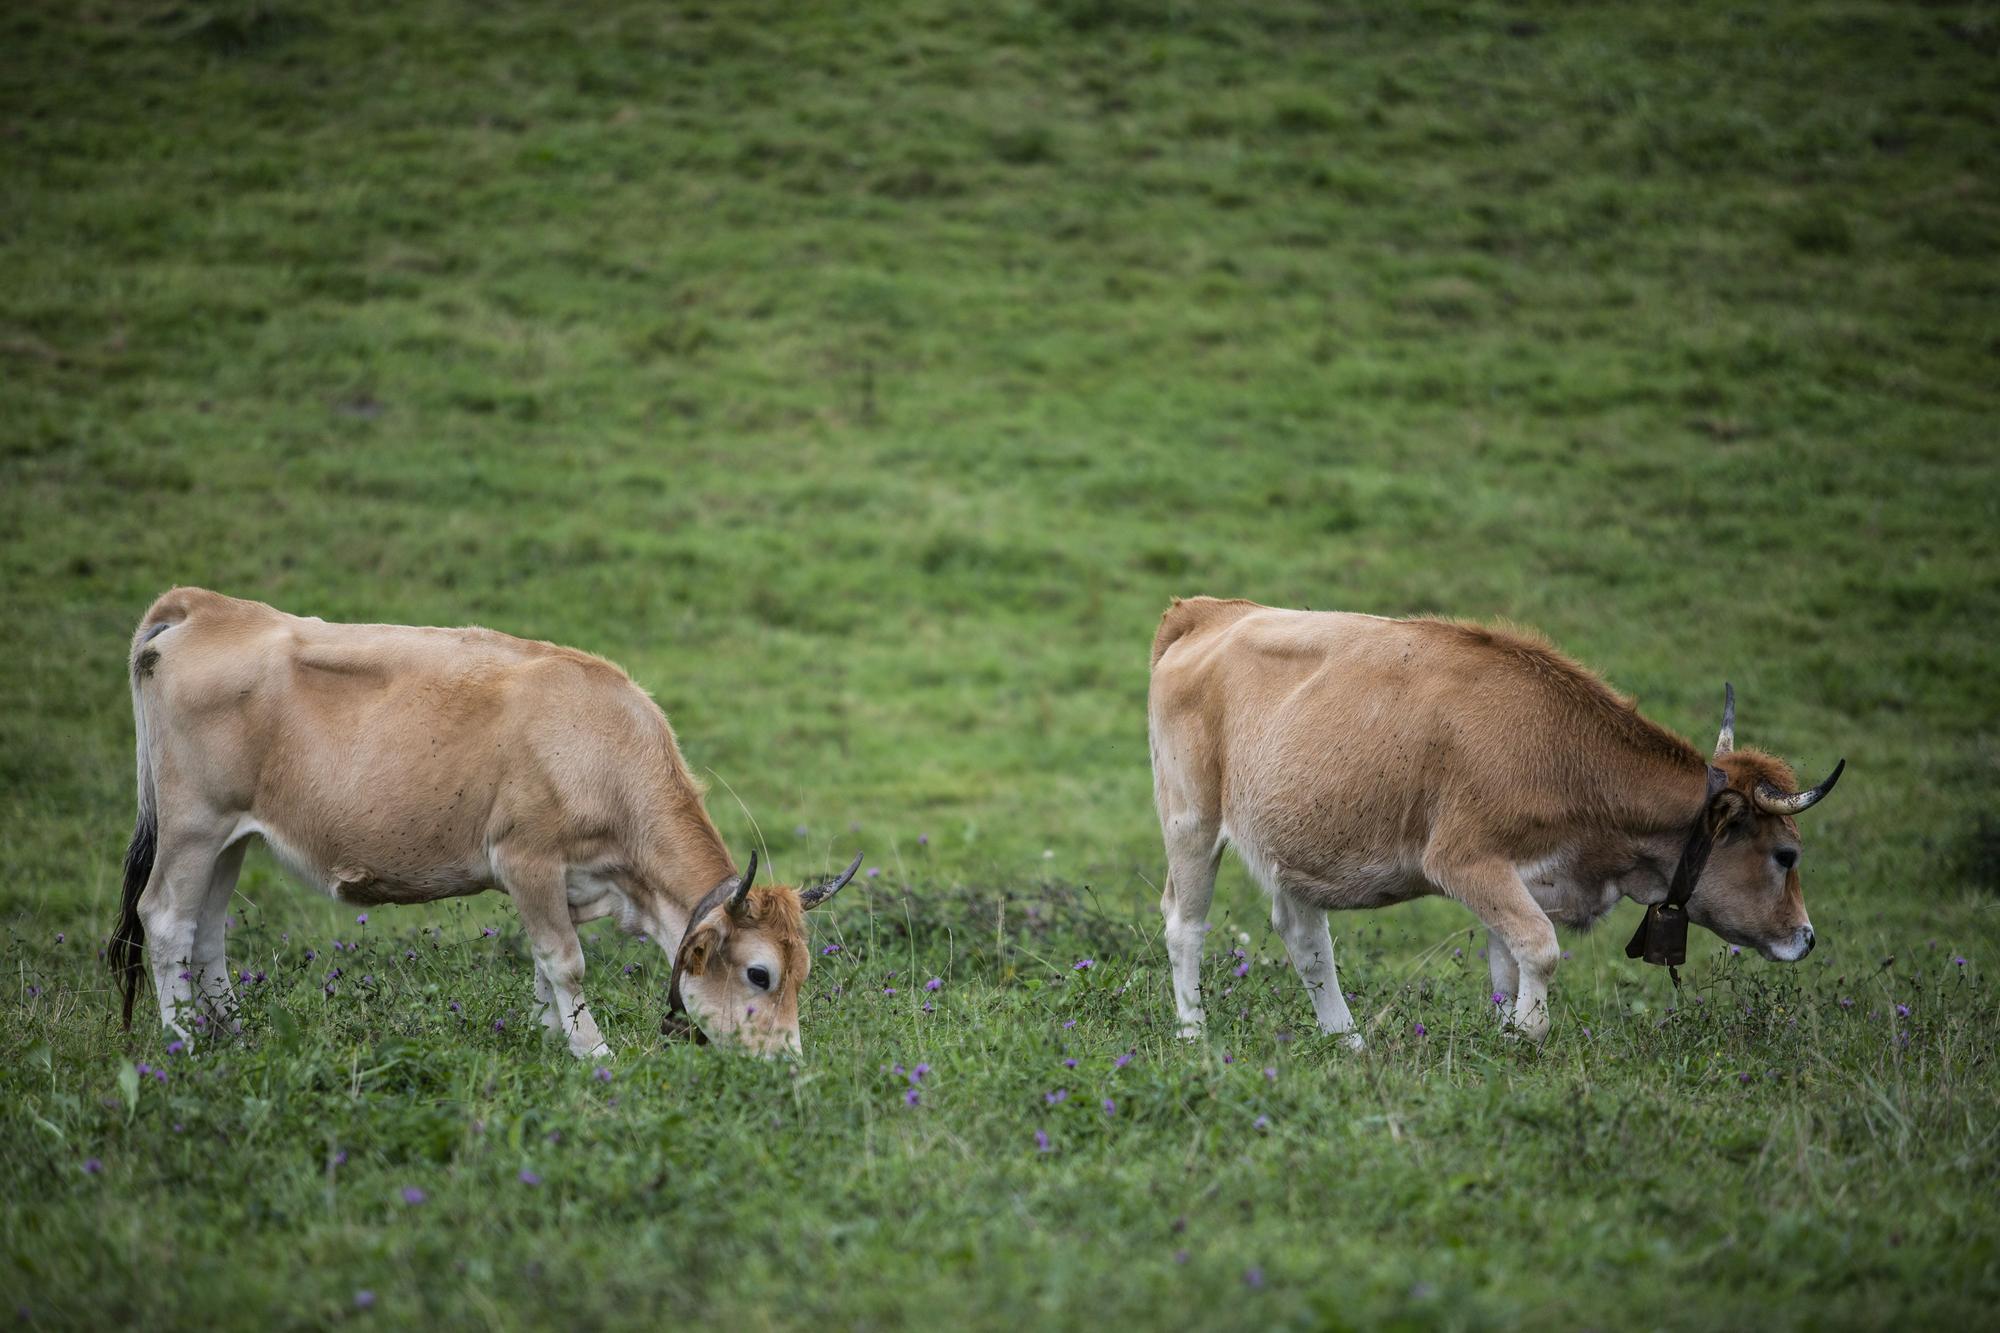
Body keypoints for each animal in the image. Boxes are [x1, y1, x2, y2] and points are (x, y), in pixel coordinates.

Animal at [107, 588, 860, 1056]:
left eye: (803, 972)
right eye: (760, 974)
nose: (788, 1062)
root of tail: (206, 606)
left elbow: (543, 968)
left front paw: (547, 1038)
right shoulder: (528, 861)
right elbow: (566, 962)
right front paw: (595, 1053)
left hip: (232, 838)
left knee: (206, 931)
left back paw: (231, 1034)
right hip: (193, 825)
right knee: (166, 919)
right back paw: (183, 1043)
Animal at [1144, 596, 1840, 1040]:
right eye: (1786, 856)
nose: (1807, 937)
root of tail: (1210, 610)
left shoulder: (1523, 876)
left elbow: (1510, 960)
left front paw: (1505, 1035)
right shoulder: (1463, 860)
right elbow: (1540, 947)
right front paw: (1528, 1034)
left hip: (1295, 843)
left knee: (1306, 939)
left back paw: (1347, 1041)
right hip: (1191, 819)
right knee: (1185, 924)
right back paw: (1194, 1035)